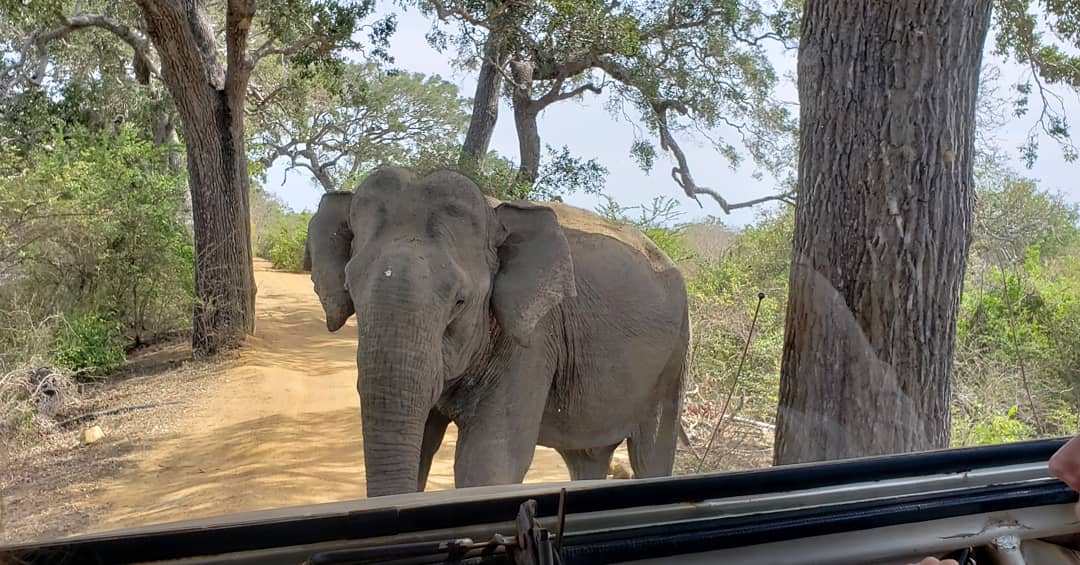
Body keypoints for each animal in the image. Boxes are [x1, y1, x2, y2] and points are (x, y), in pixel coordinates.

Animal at [303, 166, 692, 498]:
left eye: (460, 301)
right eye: (351, 290)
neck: (496, 214)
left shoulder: (533, 338)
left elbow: (487, 462)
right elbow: (423, 444)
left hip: (673, 360)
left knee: (651, 452)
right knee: (586, 455)